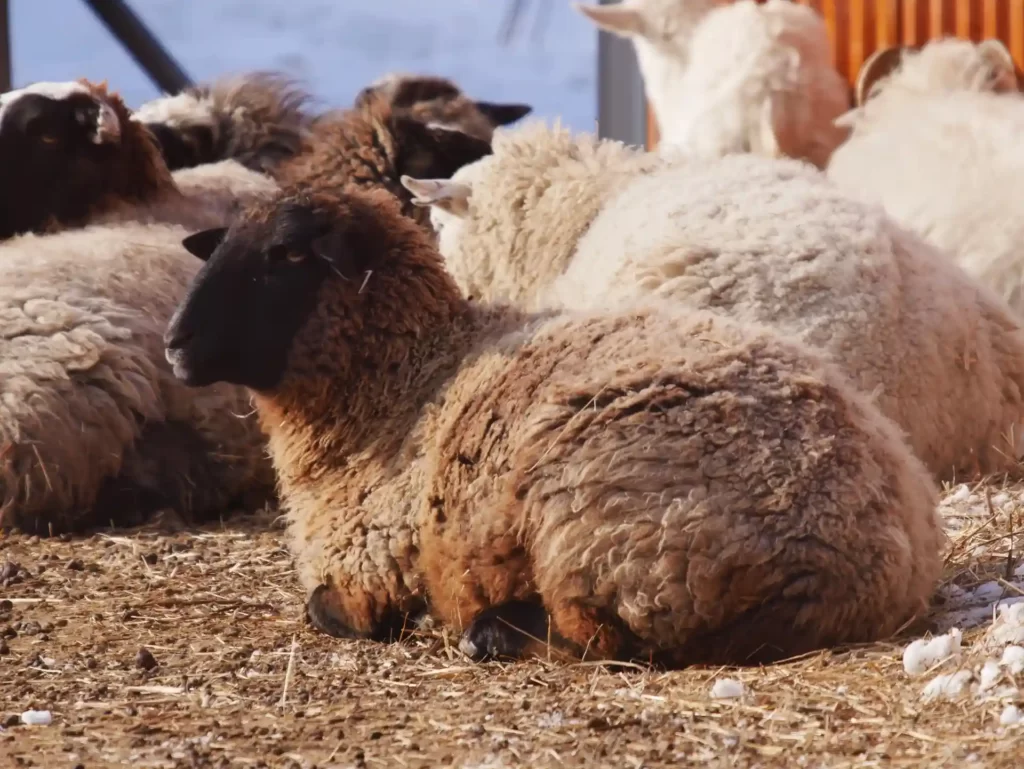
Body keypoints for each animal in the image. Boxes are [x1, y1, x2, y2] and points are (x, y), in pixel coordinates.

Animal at [163, 186, 944, 667]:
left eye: (287, 255)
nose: (175, 342)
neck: (408, 378)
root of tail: (858, 557)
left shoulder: (369, 567)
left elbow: (326, 608)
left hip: (599, 521)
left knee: (602, 637)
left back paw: (489, 631)